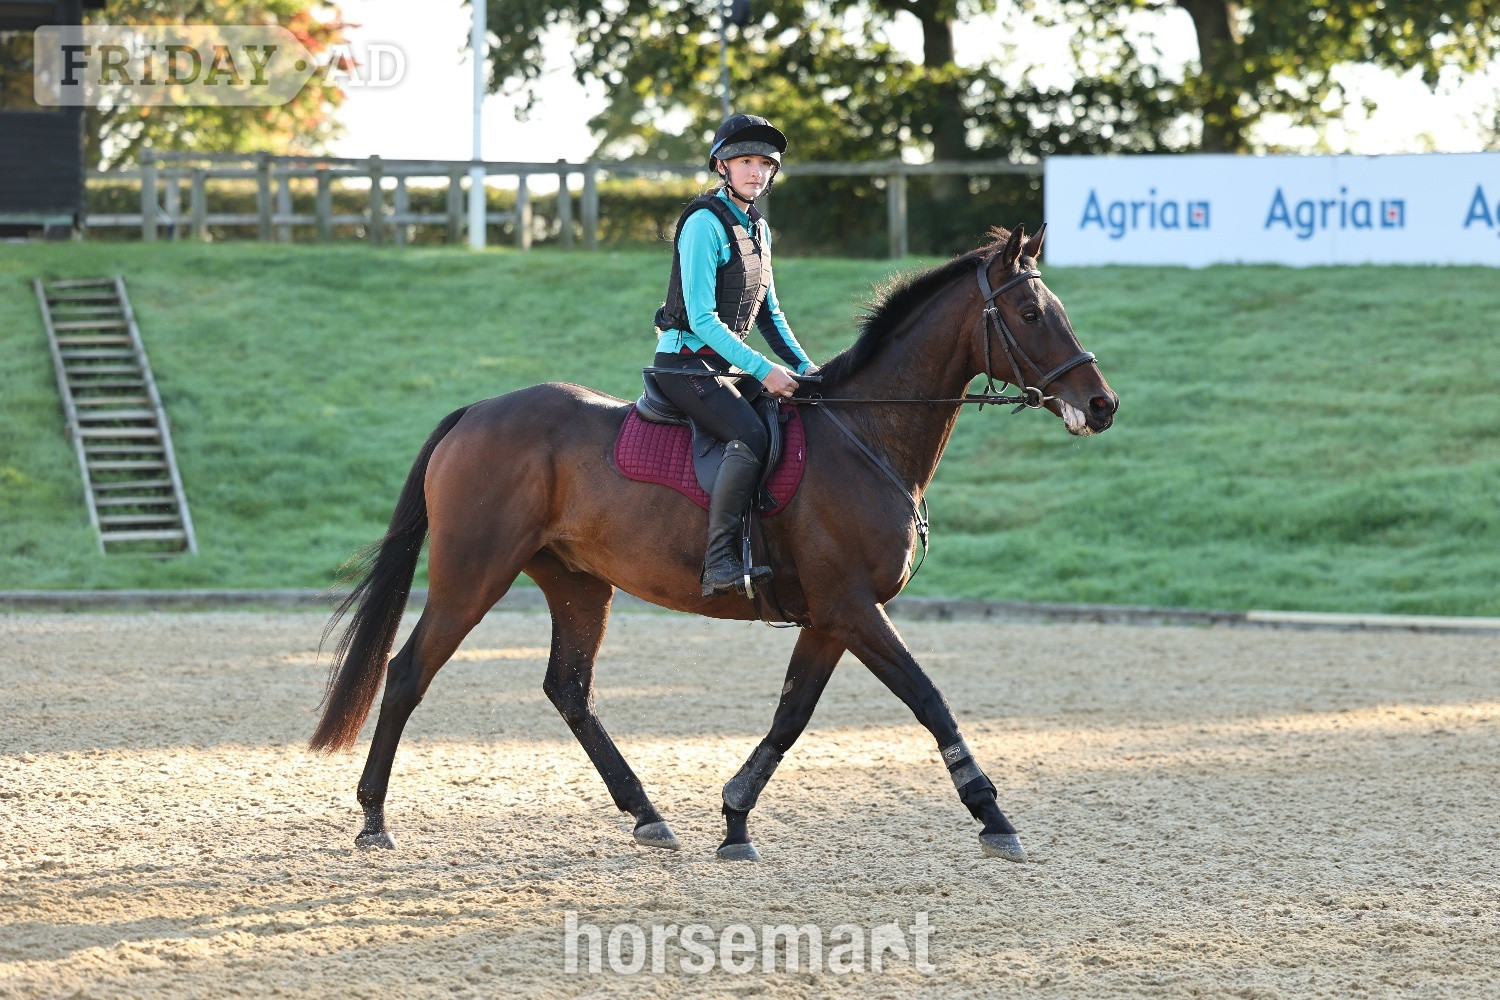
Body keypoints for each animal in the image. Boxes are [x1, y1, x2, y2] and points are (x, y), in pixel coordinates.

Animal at [310, 223, 1118, 863]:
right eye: (1028, 312)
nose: (1102, 404)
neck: (865, 435)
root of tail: (477, 410)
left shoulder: (831, 617)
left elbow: (791, 717)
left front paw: (734, 820)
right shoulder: (854, 607)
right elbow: (928, 698)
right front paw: (993, 815)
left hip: (578, 584)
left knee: (569, 690)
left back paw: (646, 814)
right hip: (471, 575)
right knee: (407, 673)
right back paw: (374, 818)